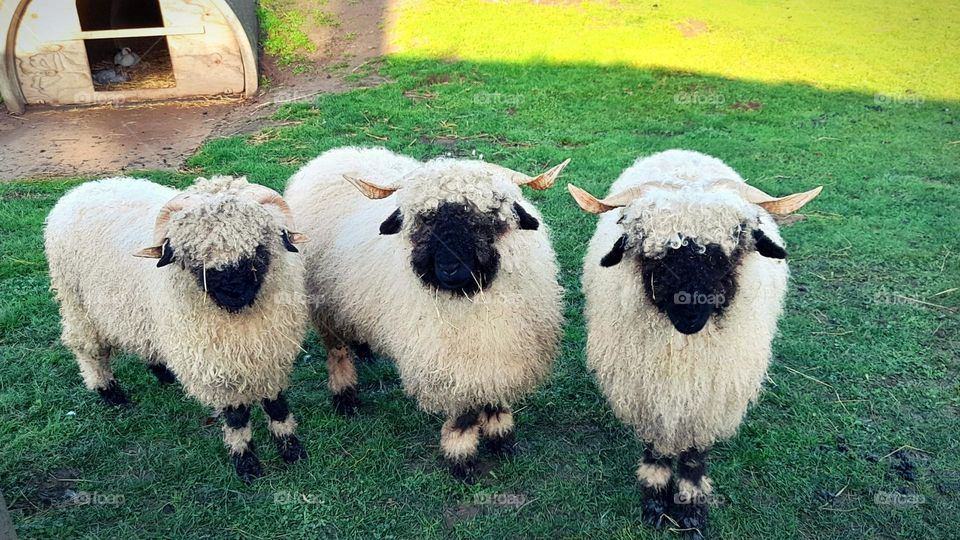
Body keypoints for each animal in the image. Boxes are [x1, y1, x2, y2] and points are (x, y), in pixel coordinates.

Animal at [44, 176, 310, 482]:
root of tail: (84, 188)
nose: (233, 291)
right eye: (194, 252)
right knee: (88, 348)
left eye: (258, 246)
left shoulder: (271, 352)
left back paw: (162, 372)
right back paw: (111, 393)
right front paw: (246, 462)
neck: (239, 319)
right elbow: (237, 416)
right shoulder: (217, 366)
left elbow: (276, 405)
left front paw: (292, 449)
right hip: (76, 301)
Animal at [284, 147, 567, 482]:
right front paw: (462, 460)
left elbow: (494, 399)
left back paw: (365, 350)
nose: (449, 268)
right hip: (325, 304)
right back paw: (345, 398)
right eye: (423, 220)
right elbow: (463, 414)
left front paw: (502, 439)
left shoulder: (499, 353)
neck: (468, 298)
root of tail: (334, 154)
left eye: (485, 220)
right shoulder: (449, 363)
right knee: (336, 351)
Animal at [567, 149, 822, 537]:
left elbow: (694, 455)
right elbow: (656, 447)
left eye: (726, 251)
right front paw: (655, 502)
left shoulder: (708, 399)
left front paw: (690, 508)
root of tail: (681, 154)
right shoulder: (647, 391)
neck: (684, 355)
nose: (690, 315)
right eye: (654, 253)